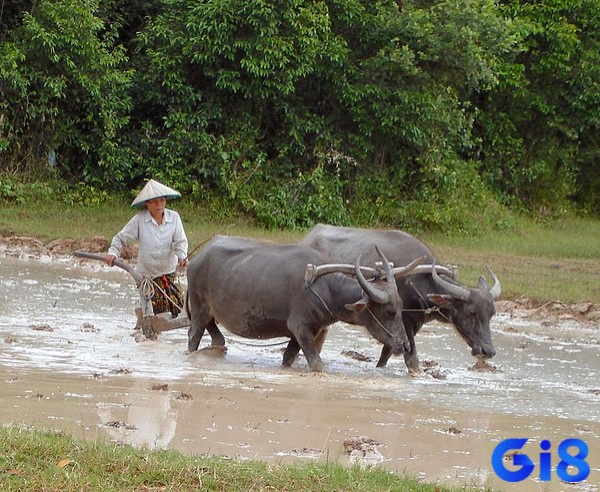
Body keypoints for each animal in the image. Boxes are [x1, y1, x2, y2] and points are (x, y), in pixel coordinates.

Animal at [185, 236, 424, 370]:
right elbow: (317, 365)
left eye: (402, 308)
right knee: (193, 335)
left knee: (217, 338)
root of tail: (195, 261)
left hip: (209, 313)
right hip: (199, 309)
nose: (405, 345)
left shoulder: (306, 332)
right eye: (390, 312)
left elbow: (289, 358)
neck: (323, 286)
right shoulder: (300, 328)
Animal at [300, 224, 502, 372]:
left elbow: (387, 353)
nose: (489, 351)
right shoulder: (404, 322)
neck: (417, 279)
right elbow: (412, 360)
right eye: (472, 312)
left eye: (491, 314)